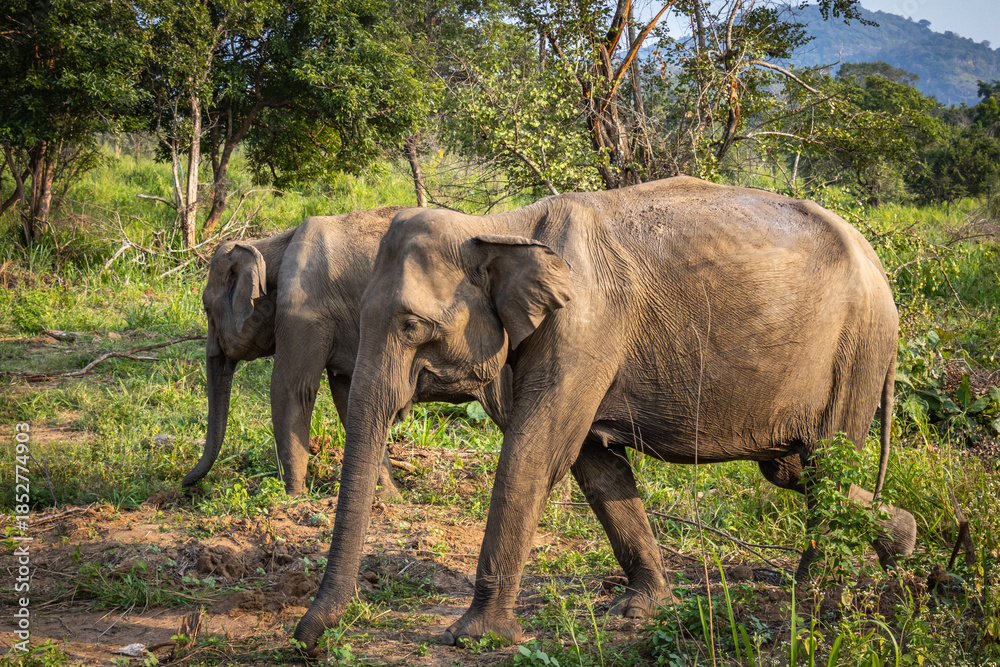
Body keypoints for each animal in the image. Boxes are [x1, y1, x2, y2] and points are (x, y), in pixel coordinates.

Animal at [293, 176, 917, 652]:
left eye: (411, 326)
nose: (307, 639)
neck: (502, 225)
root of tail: (879, 265)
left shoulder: (585, 328)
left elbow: (535, 452)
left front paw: (473, 637)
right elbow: (595, 464)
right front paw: (640, 610)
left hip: (856, 351)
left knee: (824, 467)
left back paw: (811, 593)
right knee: (793, 469)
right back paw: (897, 549)